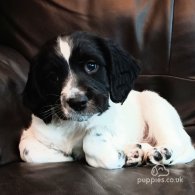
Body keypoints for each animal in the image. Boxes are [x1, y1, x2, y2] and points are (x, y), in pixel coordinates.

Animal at [19, 31, 195, 168]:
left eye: (91, 66)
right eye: (53, 77)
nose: (77, 102)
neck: (75, 126)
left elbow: (92, 137)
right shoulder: (33, 132)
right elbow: (26, 150)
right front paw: (129, 153)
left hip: (154, 103)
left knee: (181, 144)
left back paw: (161, 153)